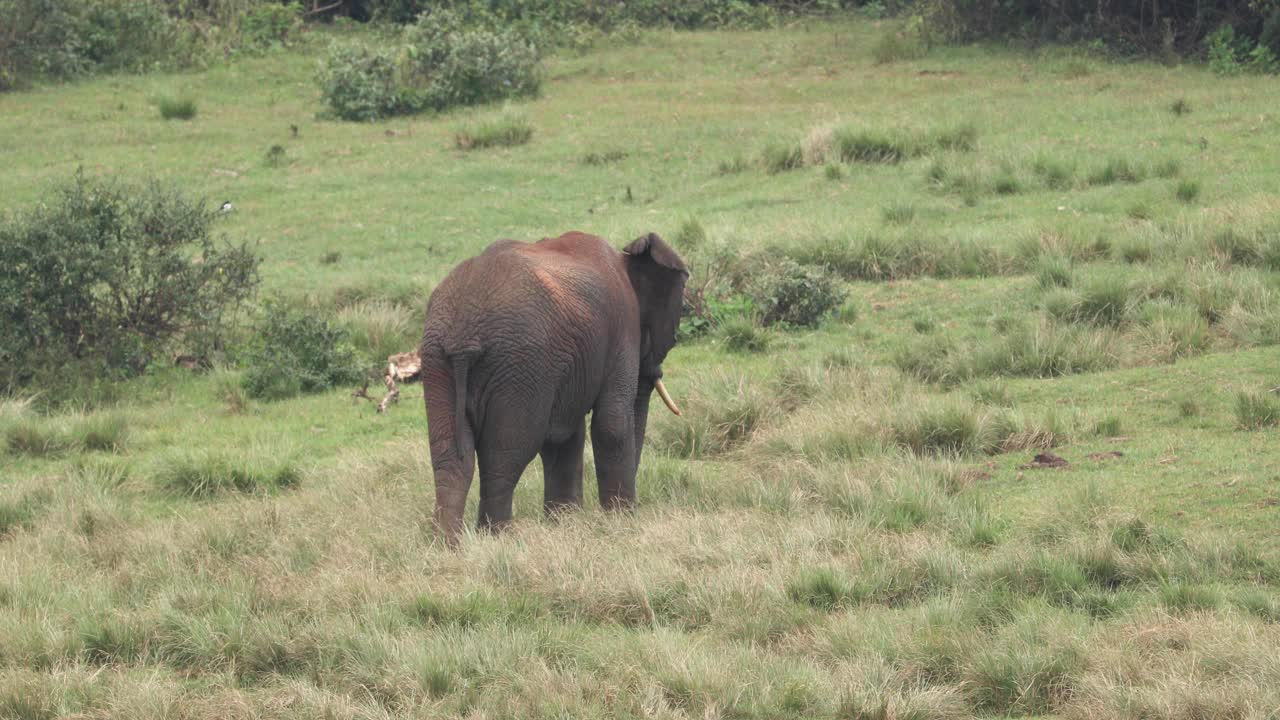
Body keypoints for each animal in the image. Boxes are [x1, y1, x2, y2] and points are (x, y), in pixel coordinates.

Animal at [422, 230, 691, 543]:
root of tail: (464, 333)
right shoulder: (623, 327)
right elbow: (611, 425)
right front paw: (621, 521)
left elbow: (563, 437)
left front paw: (565, 523)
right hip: (520, 365)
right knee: (505, 455)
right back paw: (499, 538)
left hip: (437, 360)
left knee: (451, 459)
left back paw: (448, 545)